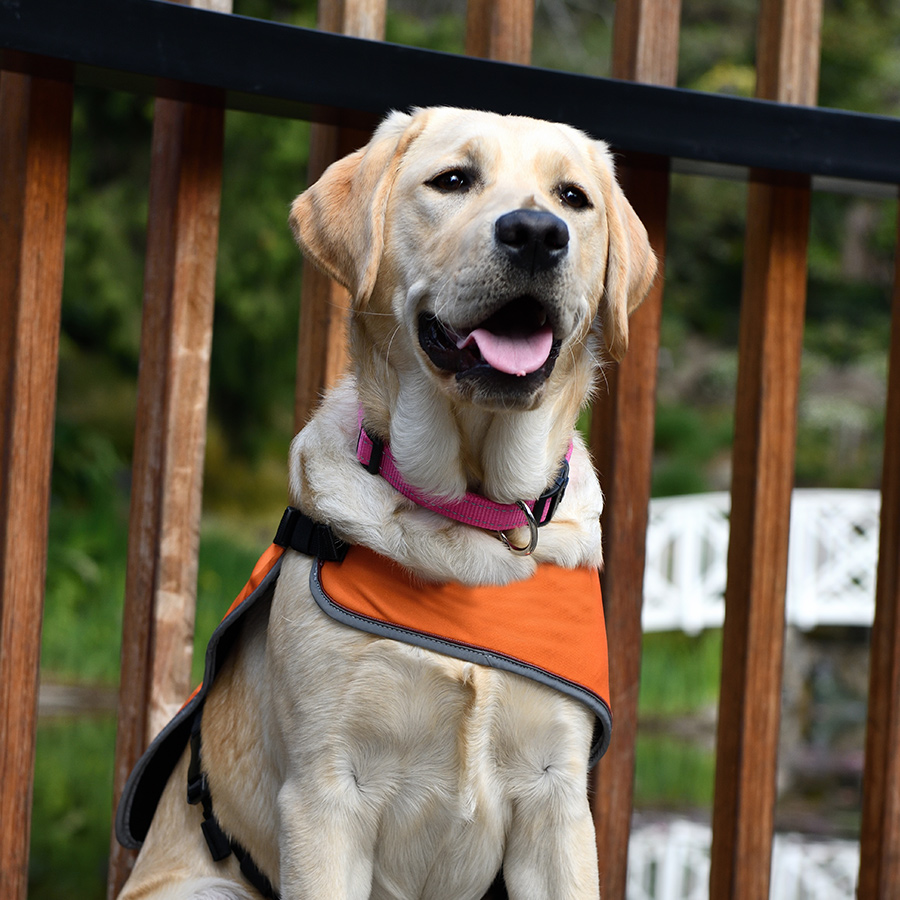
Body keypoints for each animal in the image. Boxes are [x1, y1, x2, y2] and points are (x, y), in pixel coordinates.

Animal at [118, 110, 652, 900]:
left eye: (572, 197)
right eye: (453, 179)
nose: (536, 232)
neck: (469, 516)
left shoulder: (556, 798)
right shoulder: (326, 793)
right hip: (206, 888)